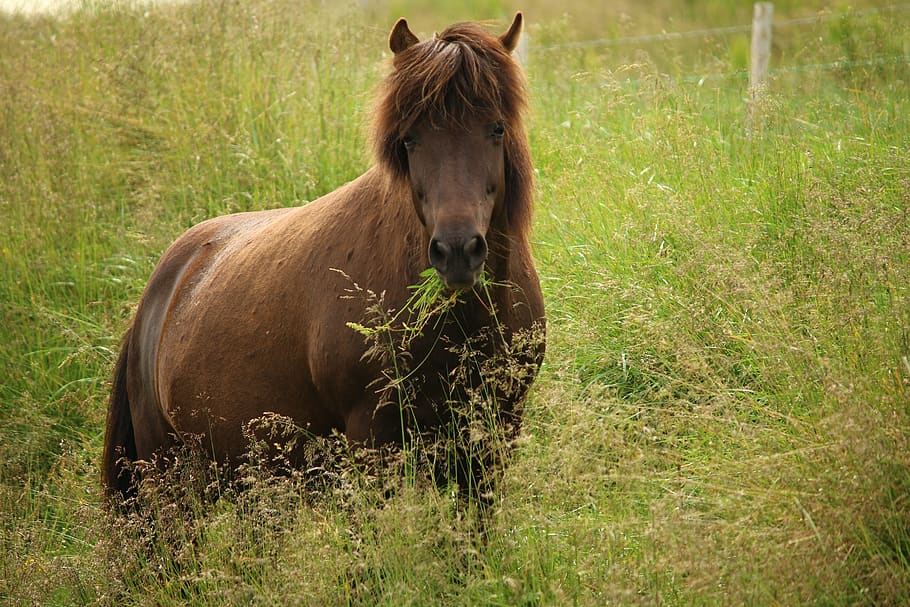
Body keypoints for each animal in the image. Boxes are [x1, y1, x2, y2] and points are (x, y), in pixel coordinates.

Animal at [102, 13, 545, 503]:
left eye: (497, 128)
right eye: (409, 139)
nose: (457, 252)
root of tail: (159, 289)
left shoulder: (492, 436)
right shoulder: (373, 441)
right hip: (166, 478)